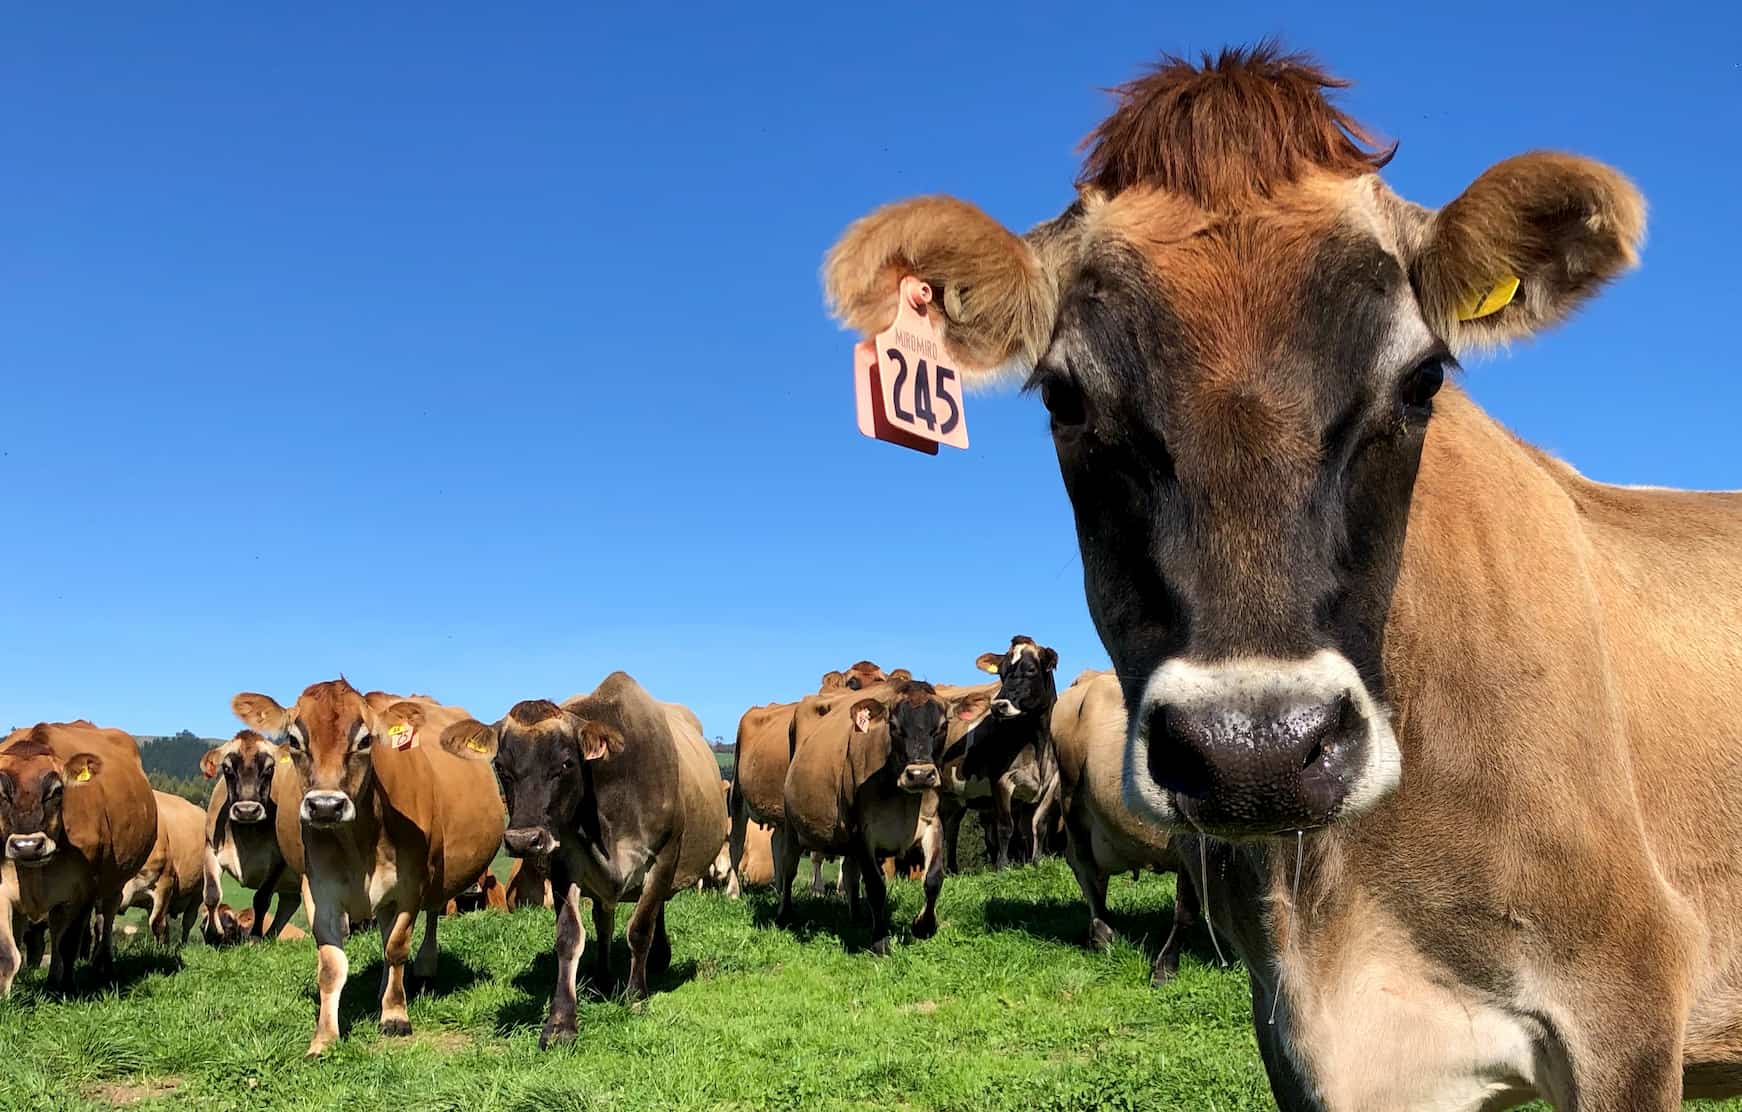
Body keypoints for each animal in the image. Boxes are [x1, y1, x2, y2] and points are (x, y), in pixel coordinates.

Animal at [0, 721, 157, 995]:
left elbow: (69, 943)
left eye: (56, 791)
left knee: (104, 918)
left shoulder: (85, 888)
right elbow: (8, 952)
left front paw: (67, 988)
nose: (27, 846)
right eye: (1, 791)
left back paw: (102, 967)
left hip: (114, 883)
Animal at [201, 730, 305, 943]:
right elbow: (212, 895)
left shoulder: (279, 860)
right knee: (289, 902)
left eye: (270, 768)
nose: (247, 810)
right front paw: (213, 933)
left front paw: (255, 936)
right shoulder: (210, 849)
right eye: (227, 768)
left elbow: (262, 898)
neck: (246, 837)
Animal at [230, 681, 505, 1054]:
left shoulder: (410, 886)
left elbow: (397, 946)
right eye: (295, 740)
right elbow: (332, 966)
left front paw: (395, 1015)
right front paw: (324, 1038)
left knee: (430, 916)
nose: (325, 806)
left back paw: (423, 968)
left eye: (364, 740)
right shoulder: (319, 891)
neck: (358, 844)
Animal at [438, 673, 728, 1049]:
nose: (523, 839)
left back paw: (657, 959)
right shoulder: (565, 862)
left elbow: (641, 928)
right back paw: (602, 975)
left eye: (565, 764)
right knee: (603, 921)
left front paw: (636, 995)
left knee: (655, 910)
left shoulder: (663, 857)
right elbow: (569, 937)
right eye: (501, 767)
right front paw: (561, 1022)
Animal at [778, 679, 950, 954]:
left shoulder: (932, 824)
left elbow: (933, 878)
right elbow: (876, 886)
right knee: (788, 869)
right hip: (793, 827)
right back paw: (784, 915)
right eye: (894, 726)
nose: (920, 775)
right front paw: (880, 941)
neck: (901, 798)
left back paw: (857, 916)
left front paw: (923, 926)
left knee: (849, 873)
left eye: (943, 726)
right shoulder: (862, 833)